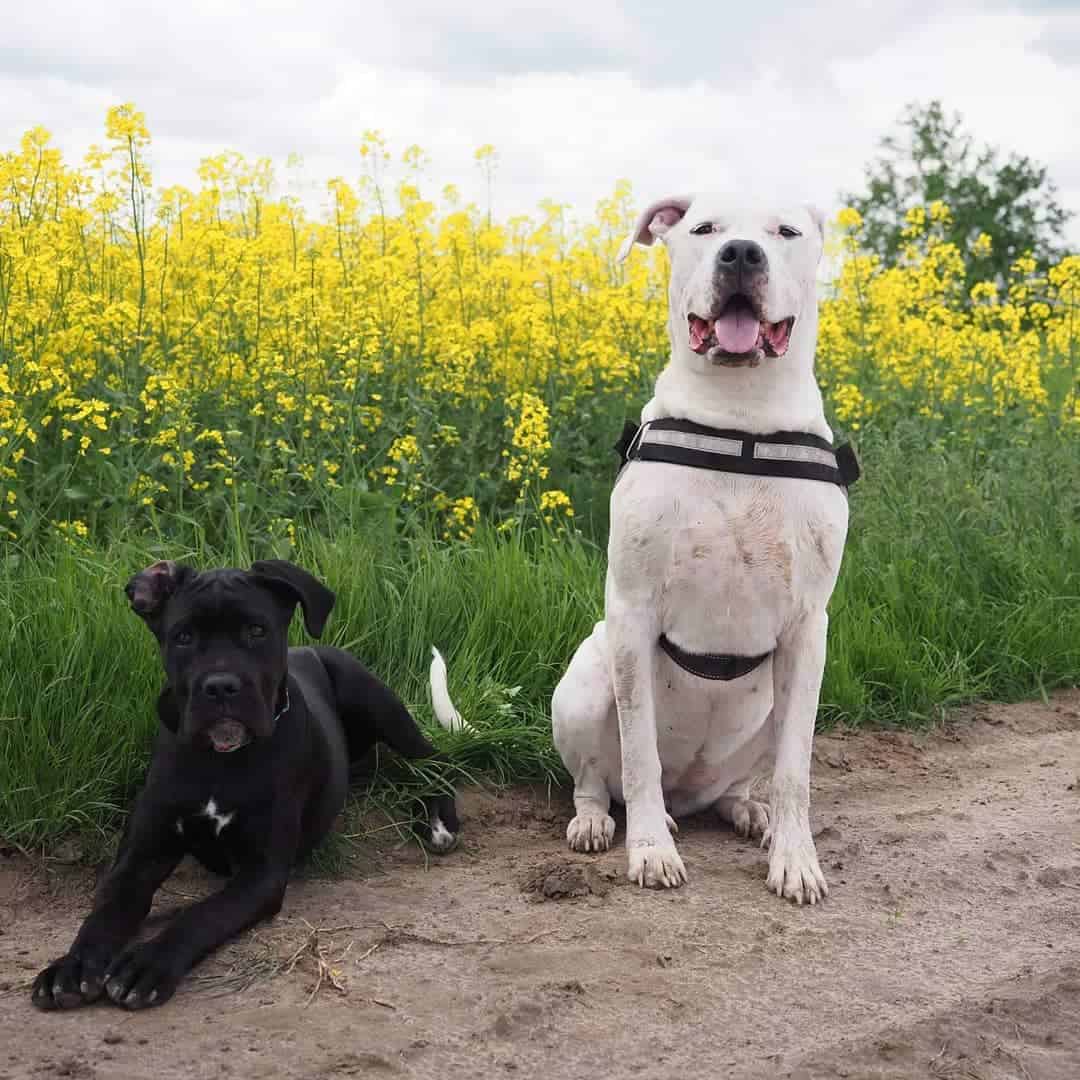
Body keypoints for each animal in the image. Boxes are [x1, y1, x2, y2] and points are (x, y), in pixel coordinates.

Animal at [30, 557, 460, 1010]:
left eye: (256, 630)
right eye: (183, 637)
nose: (221, 686)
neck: (221, 758)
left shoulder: (260, 874)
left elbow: (201, 914)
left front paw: (145, 964)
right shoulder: (139, 857)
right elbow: (106, 910)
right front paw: (73, 966)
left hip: (375, 700)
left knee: (437, 761)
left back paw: (439, 822)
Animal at [552, 192, 846, 902]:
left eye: (786, 232)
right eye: (704, 228)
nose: (740, 254)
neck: (740, 420)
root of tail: (692, 796)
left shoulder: (808, 630)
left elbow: (796, 771)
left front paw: (796, 860)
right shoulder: (631, 610)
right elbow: (639, 754)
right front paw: (649, 852)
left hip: (769, 709)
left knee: (742, 782)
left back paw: (748, 811)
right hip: (584, 685)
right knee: (596, 780)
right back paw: (603, 824)